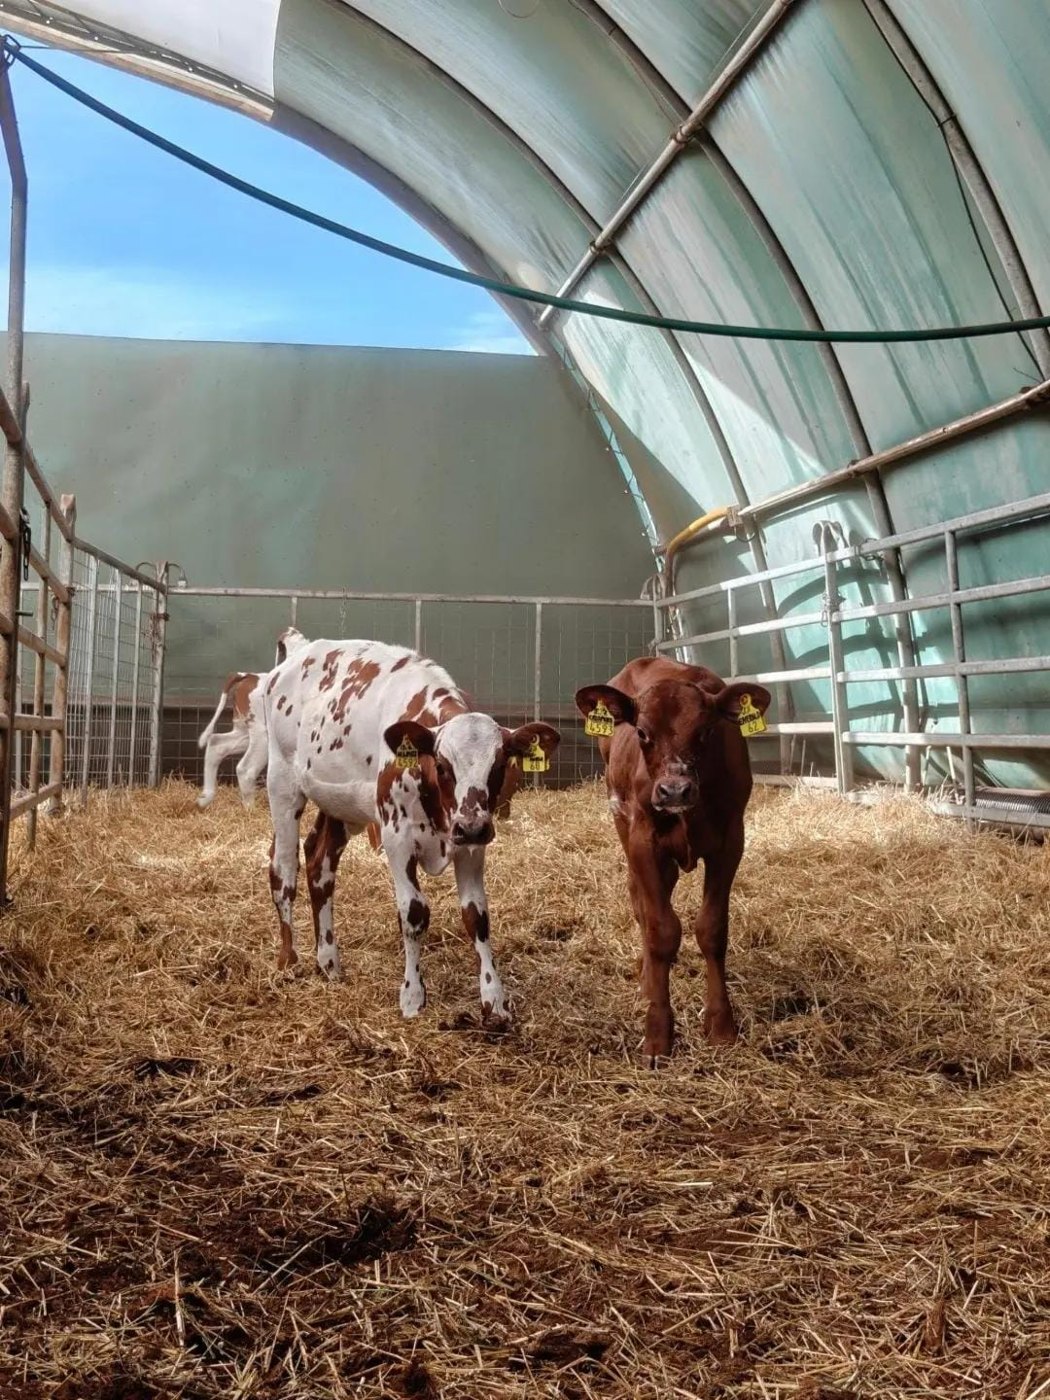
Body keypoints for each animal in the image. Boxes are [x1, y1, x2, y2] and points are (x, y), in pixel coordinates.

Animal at [196, 626, 307, 809]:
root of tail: (248, 676)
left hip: (244, 732)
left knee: (217, 744)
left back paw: (206, 798)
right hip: (263, 735)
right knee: (246, 769)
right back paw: (251, 809)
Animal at [263, 640, 560, 1022]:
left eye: (498, 765)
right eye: (444, 766)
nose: (473, 826)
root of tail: (302, 649)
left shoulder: (470, 845)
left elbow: (477, 916)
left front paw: (494, 998)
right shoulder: (397, 839)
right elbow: (414, 912)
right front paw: (412, 995)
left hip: (338, 804)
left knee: (320, 866)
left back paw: (328, 961)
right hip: (282, 786)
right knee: (283, 870)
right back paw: (289, 961)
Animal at [575, 657, 771, 1065]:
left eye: (706, 731)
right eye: (643, 733)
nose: (675, 790)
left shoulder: (731, 842)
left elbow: (711, 929)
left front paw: (721, 1025)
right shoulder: (643, 841)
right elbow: (661, 930)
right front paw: (658, 1032)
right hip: (623, 825)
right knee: (642, 905)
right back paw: (648, 982)